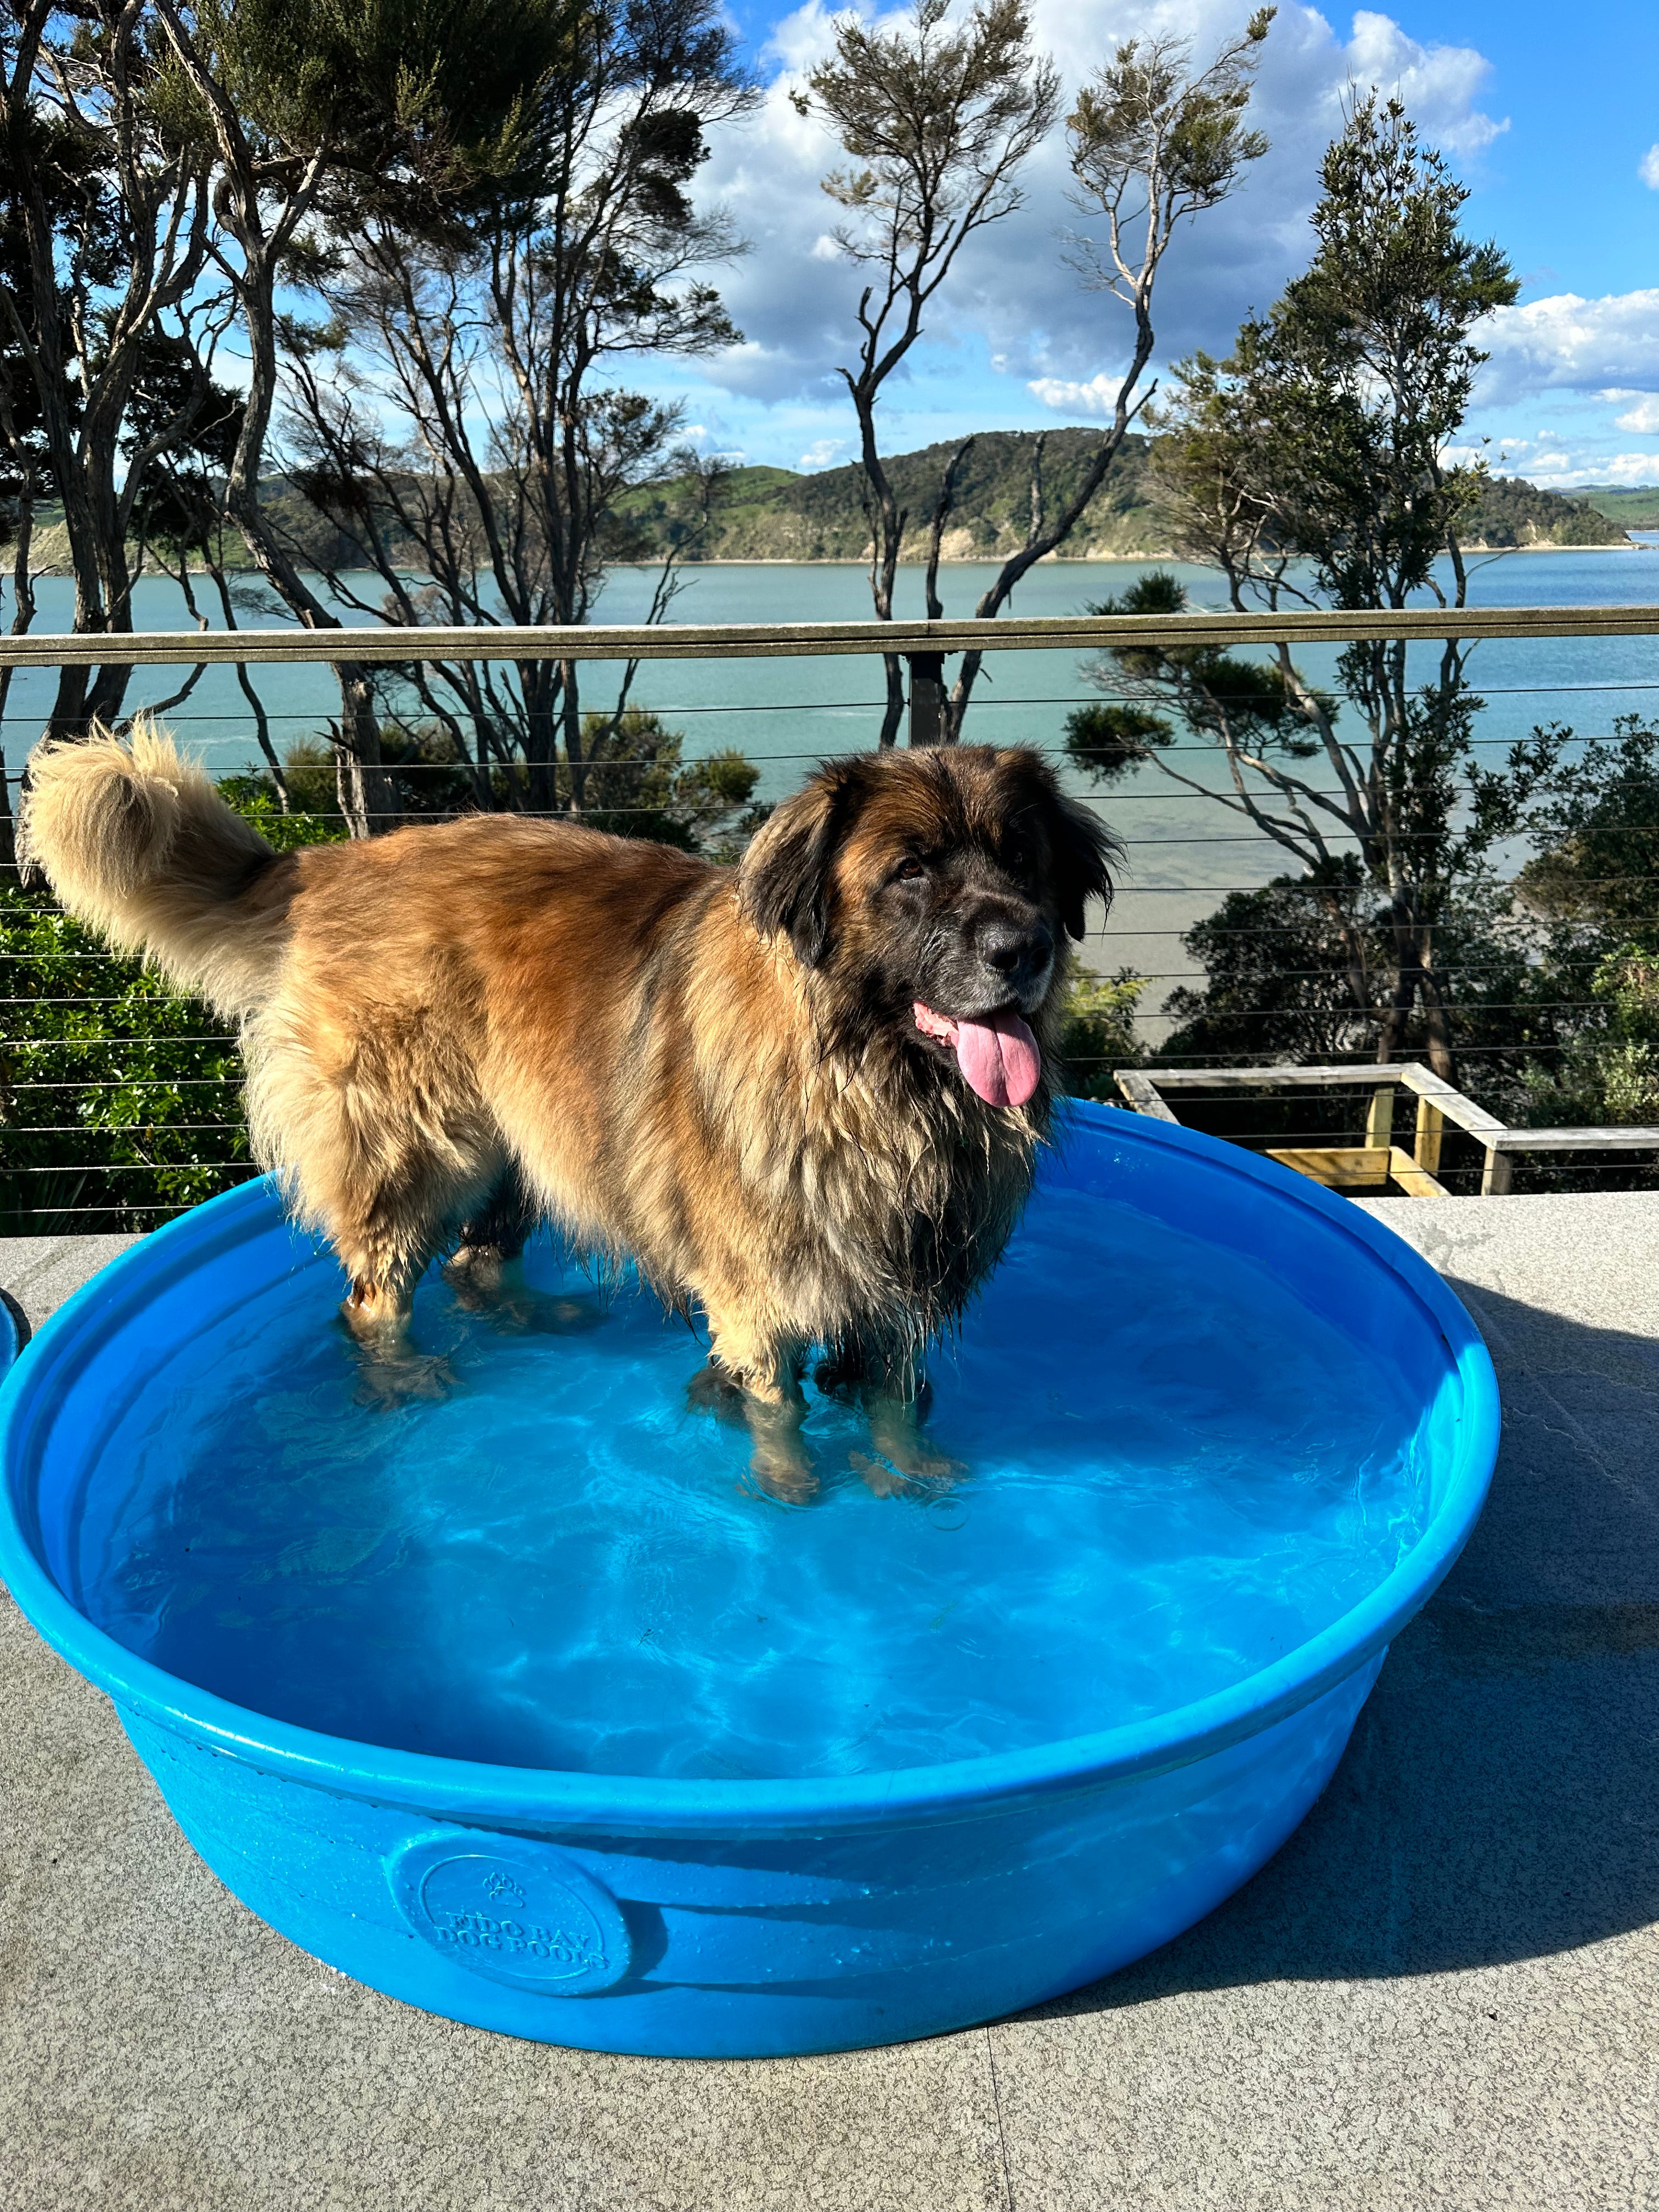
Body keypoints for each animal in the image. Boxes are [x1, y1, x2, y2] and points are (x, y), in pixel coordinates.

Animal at [22, 725, 1119, 1486]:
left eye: (1022, 860)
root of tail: (331, 860)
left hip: (523, 1136)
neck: (873, 1087)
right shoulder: (761, 1299)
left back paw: (536, 1315)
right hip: (420, 1149)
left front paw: (911, 1484)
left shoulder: (901, 1292)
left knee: (474, 1263)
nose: (1022, 949)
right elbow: (780, 1416)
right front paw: (792, 1497)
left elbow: (894, 1406)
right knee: (373, 1297)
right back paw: (405, 1379)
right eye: (909, 872)